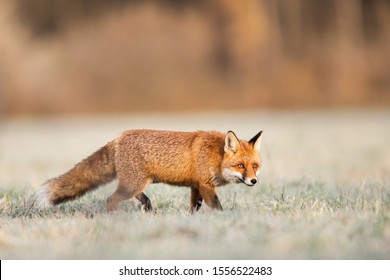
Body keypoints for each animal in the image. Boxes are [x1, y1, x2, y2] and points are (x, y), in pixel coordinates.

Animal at [36, 129, 264, 212]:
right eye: (240, 166)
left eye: (255, 166)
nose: (253, 181)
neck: (215, 155)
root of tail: (118, 137)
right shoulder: (206, 185)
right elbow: (217, 207)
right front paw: (223, 219)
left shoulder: (195, 186)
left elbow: (195, 208)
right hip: (132, 184)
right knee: (111, 199)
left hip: (135, 182)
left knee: (135, 196)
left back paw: (147, 206)